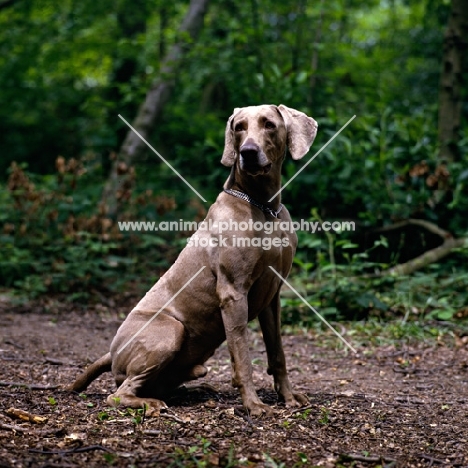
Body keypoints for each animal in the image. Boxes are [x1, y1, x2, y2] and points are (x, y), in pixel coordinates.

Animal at [68, 104, 318, 414]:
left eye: (269, 124)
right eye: (239, 127)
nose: (247, 152)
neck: (263, 207)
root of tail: (112, 352)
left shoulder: (273, 296)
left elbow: (278, 353)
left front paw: (288, 397)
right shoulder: (233, 292)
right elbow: (242, 358)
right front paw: (253, 404)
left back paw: (197, 389)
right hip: (170, 330)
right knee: (118, 394)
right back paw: (151, 403)